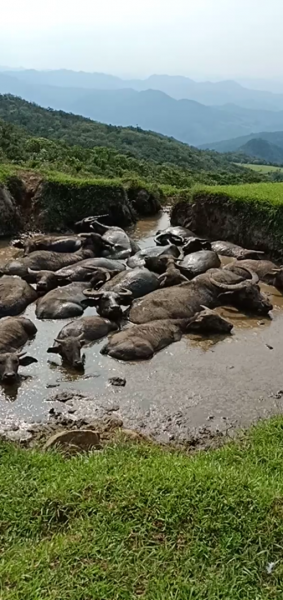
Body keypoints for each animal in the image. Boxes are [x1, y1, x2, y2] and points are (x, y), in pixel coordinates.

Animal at [101, 310, 234, 360]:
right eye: (215, 320)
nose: (230, 325)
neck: (179, 323)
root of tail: (109, 345)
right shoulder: (177, 335)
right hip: (146, 348)